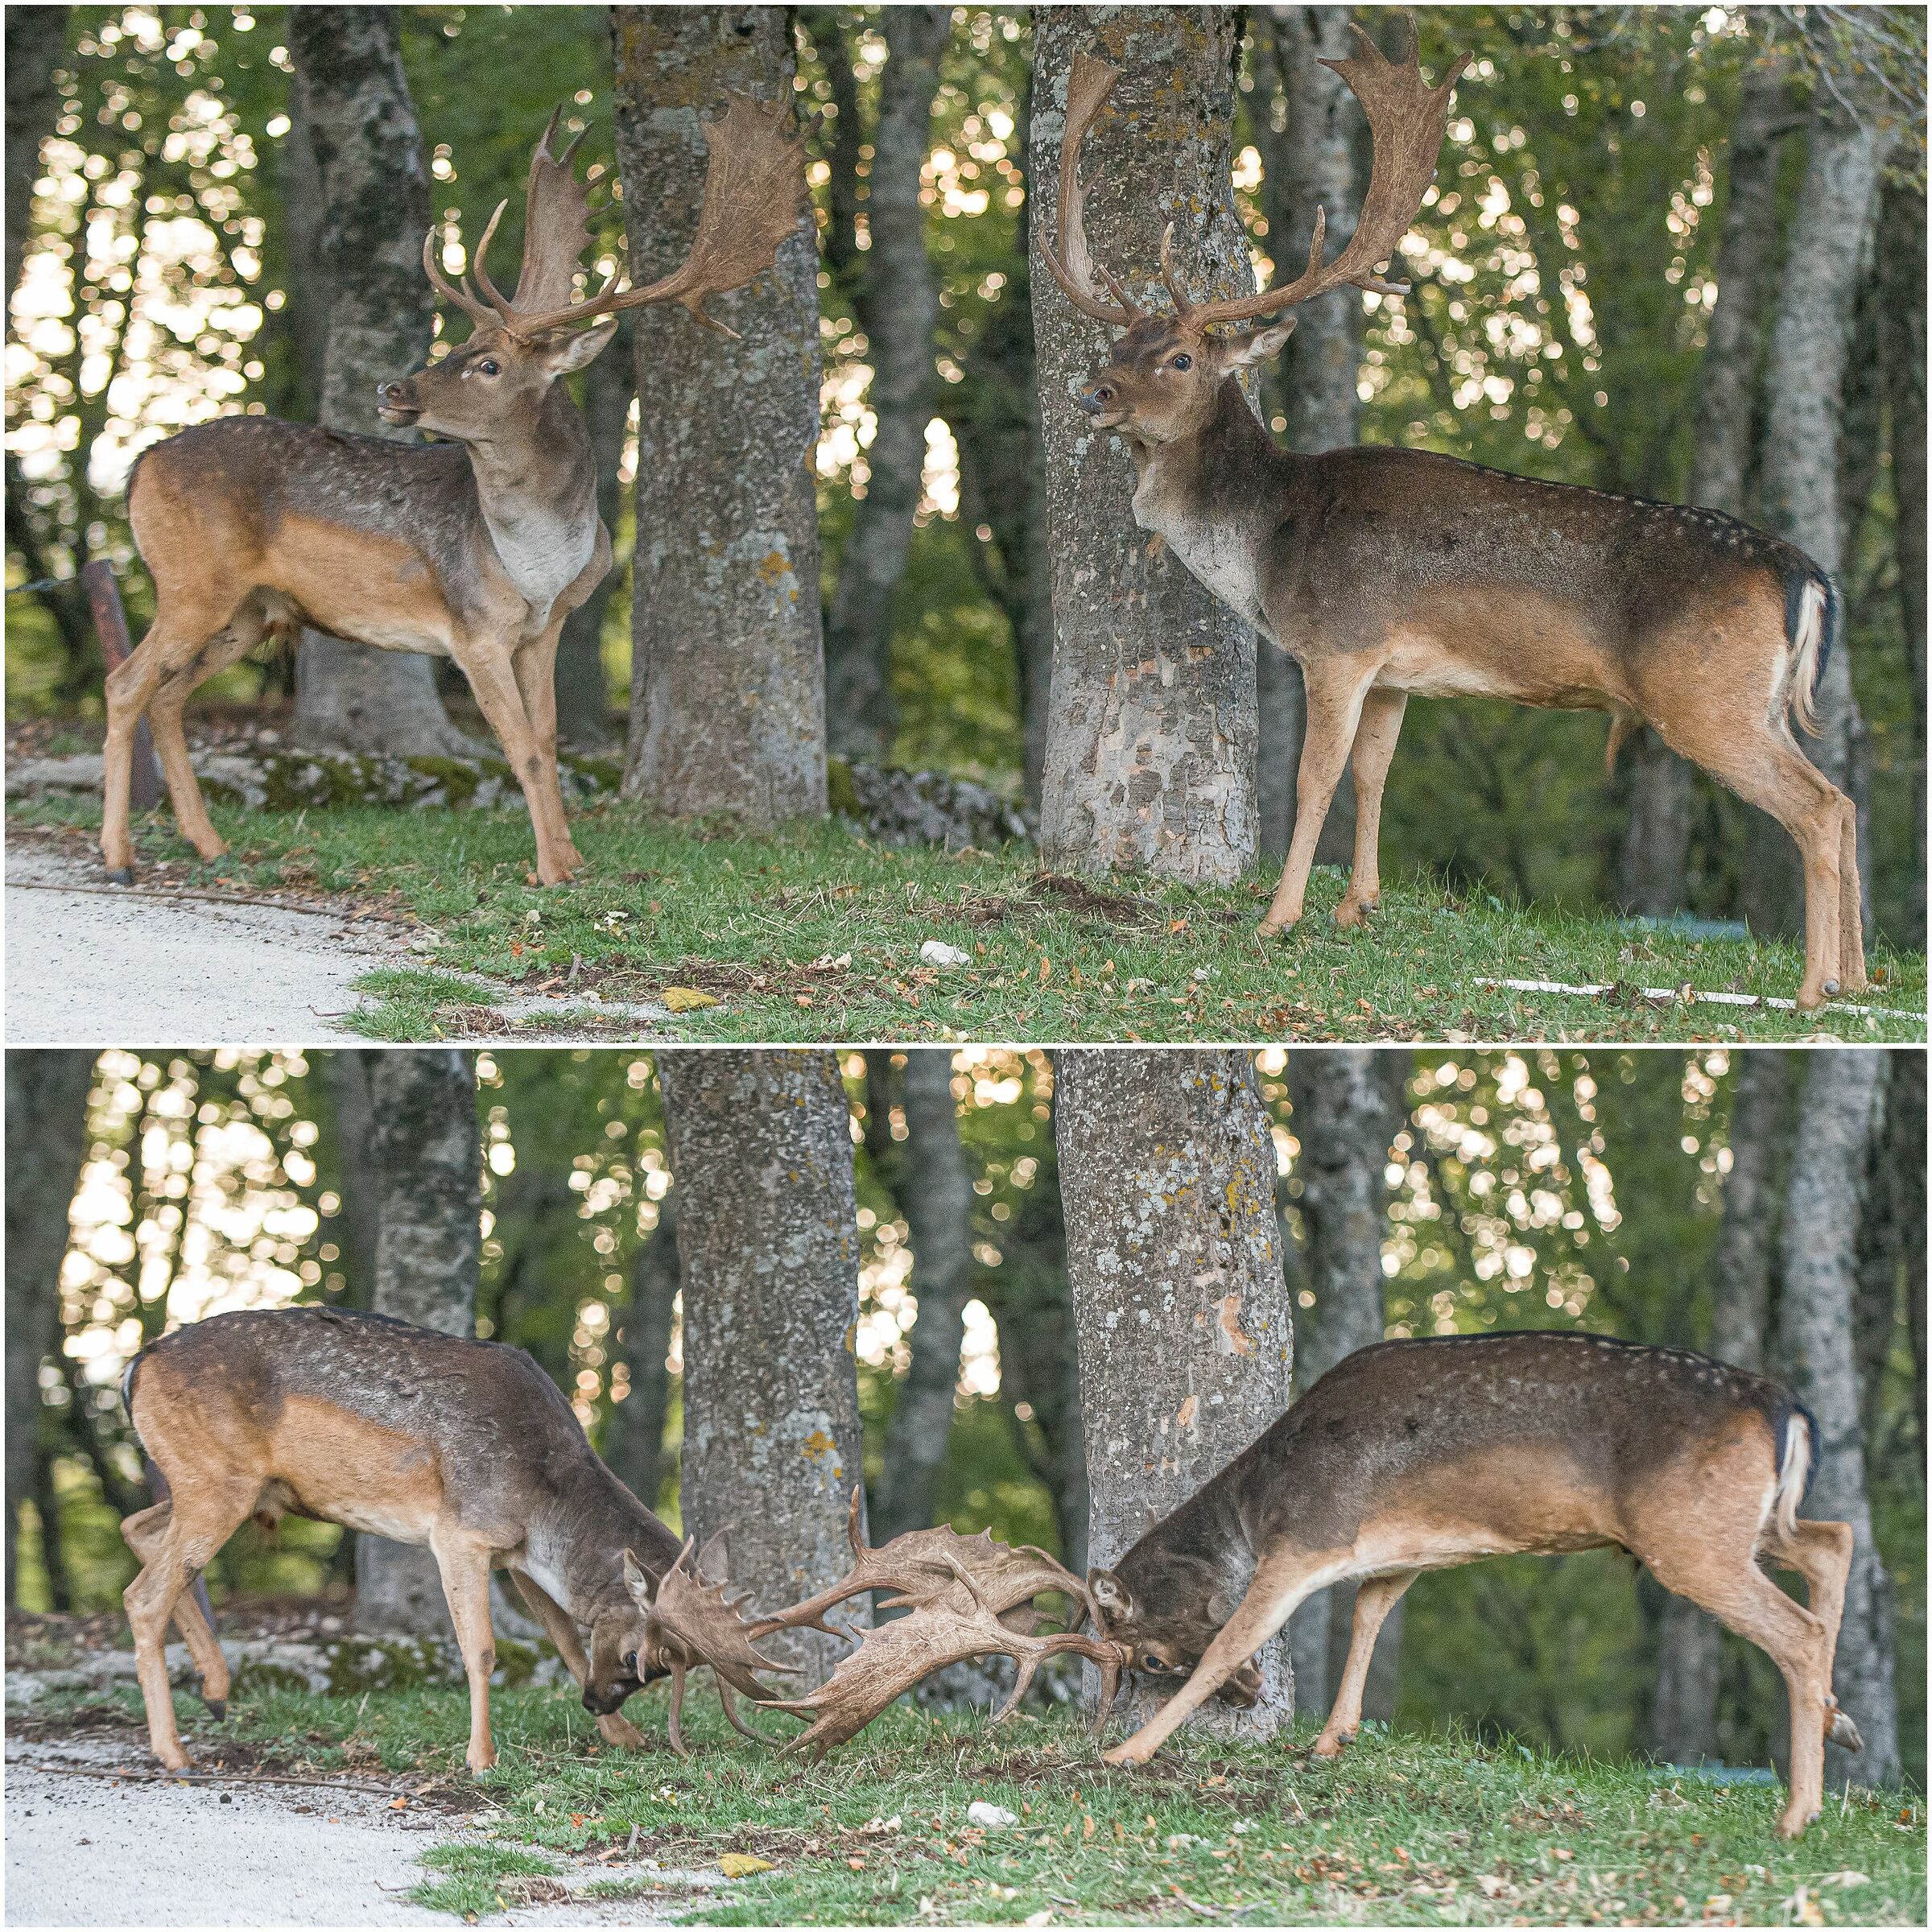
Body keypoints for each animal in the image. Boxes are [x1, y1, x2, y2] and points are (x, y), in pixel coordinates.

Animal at [101, 94, 808, 891]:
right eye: (458, 346)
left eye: (489, 363)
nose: (394, 389)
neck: (540, 560)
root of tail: (140, 465)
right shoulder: (473, 630)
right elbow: (521, 747)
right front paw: (551, 872)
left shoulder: (545, 628)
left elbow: (549, 739)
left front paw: (573, 859)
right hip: (193, 582)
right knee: (125, 684)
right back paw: (120, 857)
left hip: (254, 611)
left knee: (166, 695)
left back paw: (209, 844)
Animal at [118, 1306, 788, 1774]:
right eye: (636, 1658)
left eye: (659, 1669)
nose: (598, 1704)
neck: (543, 1495)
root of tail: (134, 1366)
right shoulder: (461, 1531)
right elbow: (483, 1650)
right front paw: (482, 1759)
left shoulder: (516, 1555)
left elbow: (565, 1638)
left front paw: (627, 1739)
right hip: (218, 1481)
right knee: (142, 1595)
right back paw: (175, 1752)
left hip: (245, 1490)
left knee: (138, 1529)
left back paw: (216, 1693)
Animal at [1039, 23, 1864, 1011]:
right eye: (1114, 343)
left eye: (1178, 359)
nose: (1093, 394)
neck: (1268, 541)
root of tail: (1806, 576)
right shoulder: (1396, 671)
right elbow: (1374, 773)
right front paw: (1357, 907)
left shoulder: (1340, 640)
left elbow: (1316, 779)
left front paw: (1279, 919)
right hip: (1762, 701)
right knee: (1846, 800)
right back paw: (1860, 980)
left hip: (1704, 698)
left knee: (1816, 808)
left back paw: (1814, 990)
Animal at [1079, 1330, 1862, 1841]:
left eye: (1149, 1659)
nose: (1255, 1698)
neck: (1254, 1509)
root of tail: (1784, 1408)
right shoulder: (1402, 1554)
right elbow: (1367, 1615)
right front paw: (1333, 1738)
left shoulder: (1308, 1538)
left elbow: (1229, 1643)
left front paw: (1126, 1753)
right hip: (1734, 1522)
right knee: (1833, 1540)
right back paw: (1836, 1721)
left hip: (1687, 1532)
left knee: (1799, 1625)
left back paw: (1799, 1811)